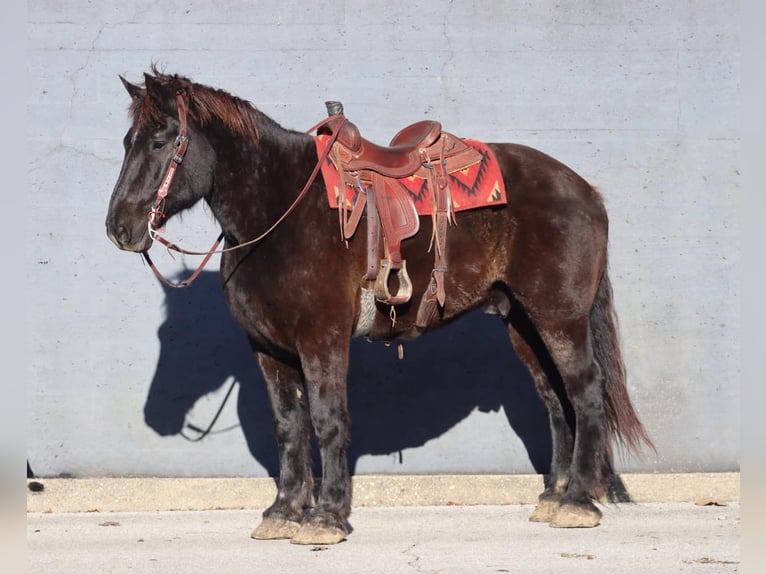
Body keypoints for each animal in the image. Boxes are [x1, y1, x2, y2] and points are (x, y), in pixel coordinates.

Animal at [105, 68, 652, 545]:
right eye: (127, 140)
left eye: (161, 141)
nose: (119, 228)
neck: (279, 213)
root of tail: (584, 190)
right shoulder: (268, 348)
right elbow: (288, 426)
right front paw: (283, 511)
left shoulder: (322, 340)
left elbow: (327, 421)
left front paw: (327, 516)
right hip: (522, 322)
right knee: (554, 399)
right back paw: (554, 496)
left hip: (560, 316)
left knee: (586, 391)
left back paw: (578, 501)